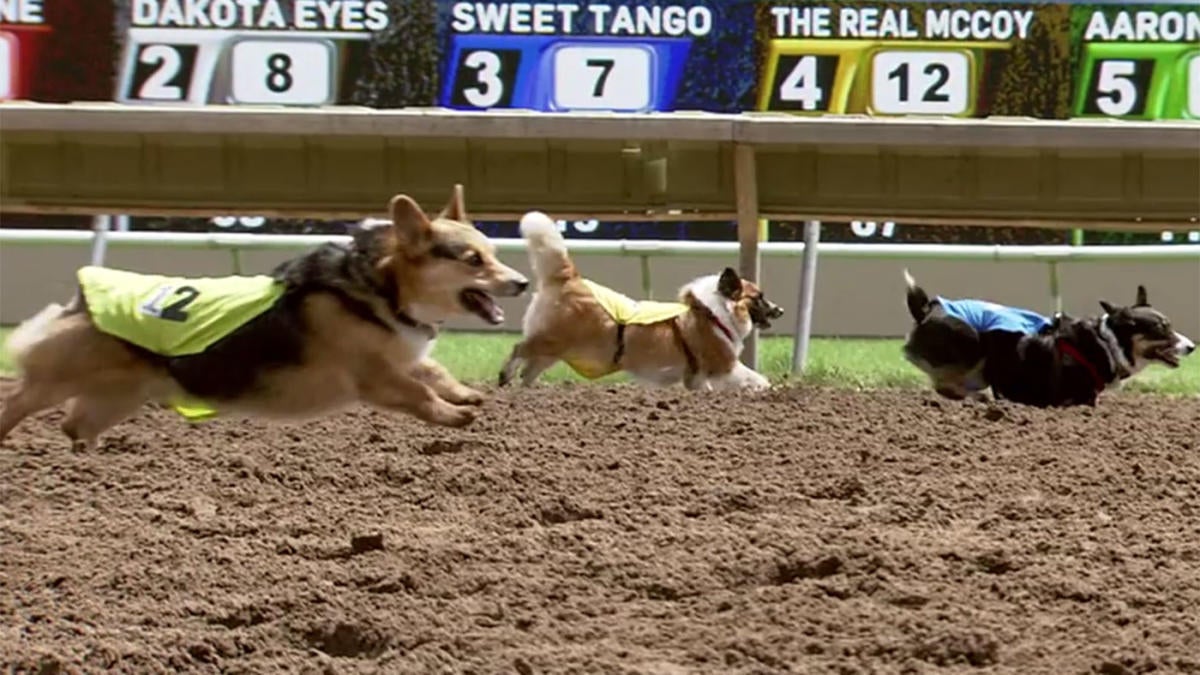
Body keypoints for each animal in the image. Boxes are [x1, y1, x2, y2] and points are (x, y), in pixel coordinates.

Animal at [902, 267, 1195, 403]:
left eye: (1169, 325)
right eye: (1161, 328)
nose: (1192, 347)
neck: (1107, 342)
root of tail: (927, 309)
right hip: (971, 343)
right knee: (943, 385)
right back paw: (979, 398)